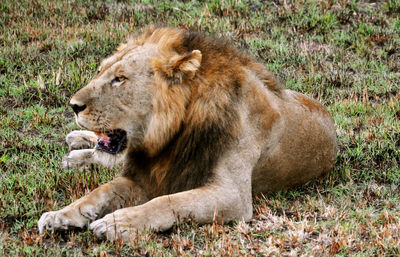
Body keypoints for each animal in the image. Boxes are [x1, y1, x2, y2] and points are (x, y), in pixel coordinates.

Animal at [38, 26, 338, 240]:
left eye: (119, 79)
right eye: (100, 71)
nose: (73, 105)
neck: (170, 137)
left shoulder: (233, 196)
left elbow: (168, 202)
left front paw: (117, 222)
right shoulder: (143, 176)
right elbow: (99, 191)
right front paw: (60, 216)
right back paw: (76, 147)